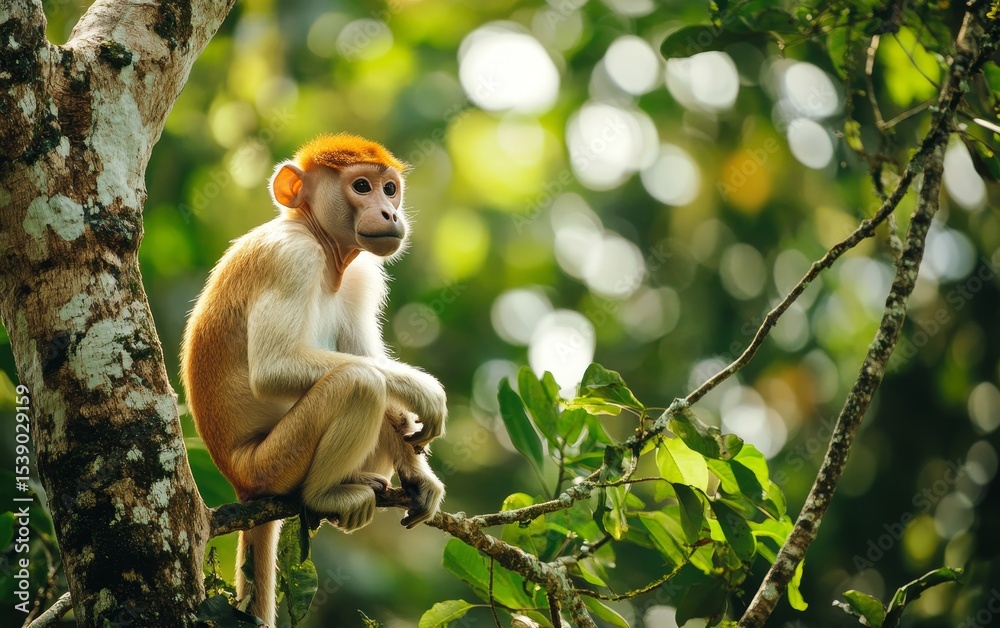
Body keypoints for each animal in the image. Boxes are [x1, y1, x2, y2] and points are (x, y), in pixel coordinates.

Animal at [180, 134, 447, 626]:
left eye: (390, 189)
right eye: (362, 186)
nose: (389, 212)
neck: (322, 247)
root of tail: (239, 480)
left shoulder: (360, 277)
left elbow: (365, 358)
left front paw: (420, 475)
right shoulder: (291, 258)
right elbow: (276, 368)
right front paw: (424, 393)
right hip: (271, 463)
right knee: (359, 383)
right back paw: (324, 496)